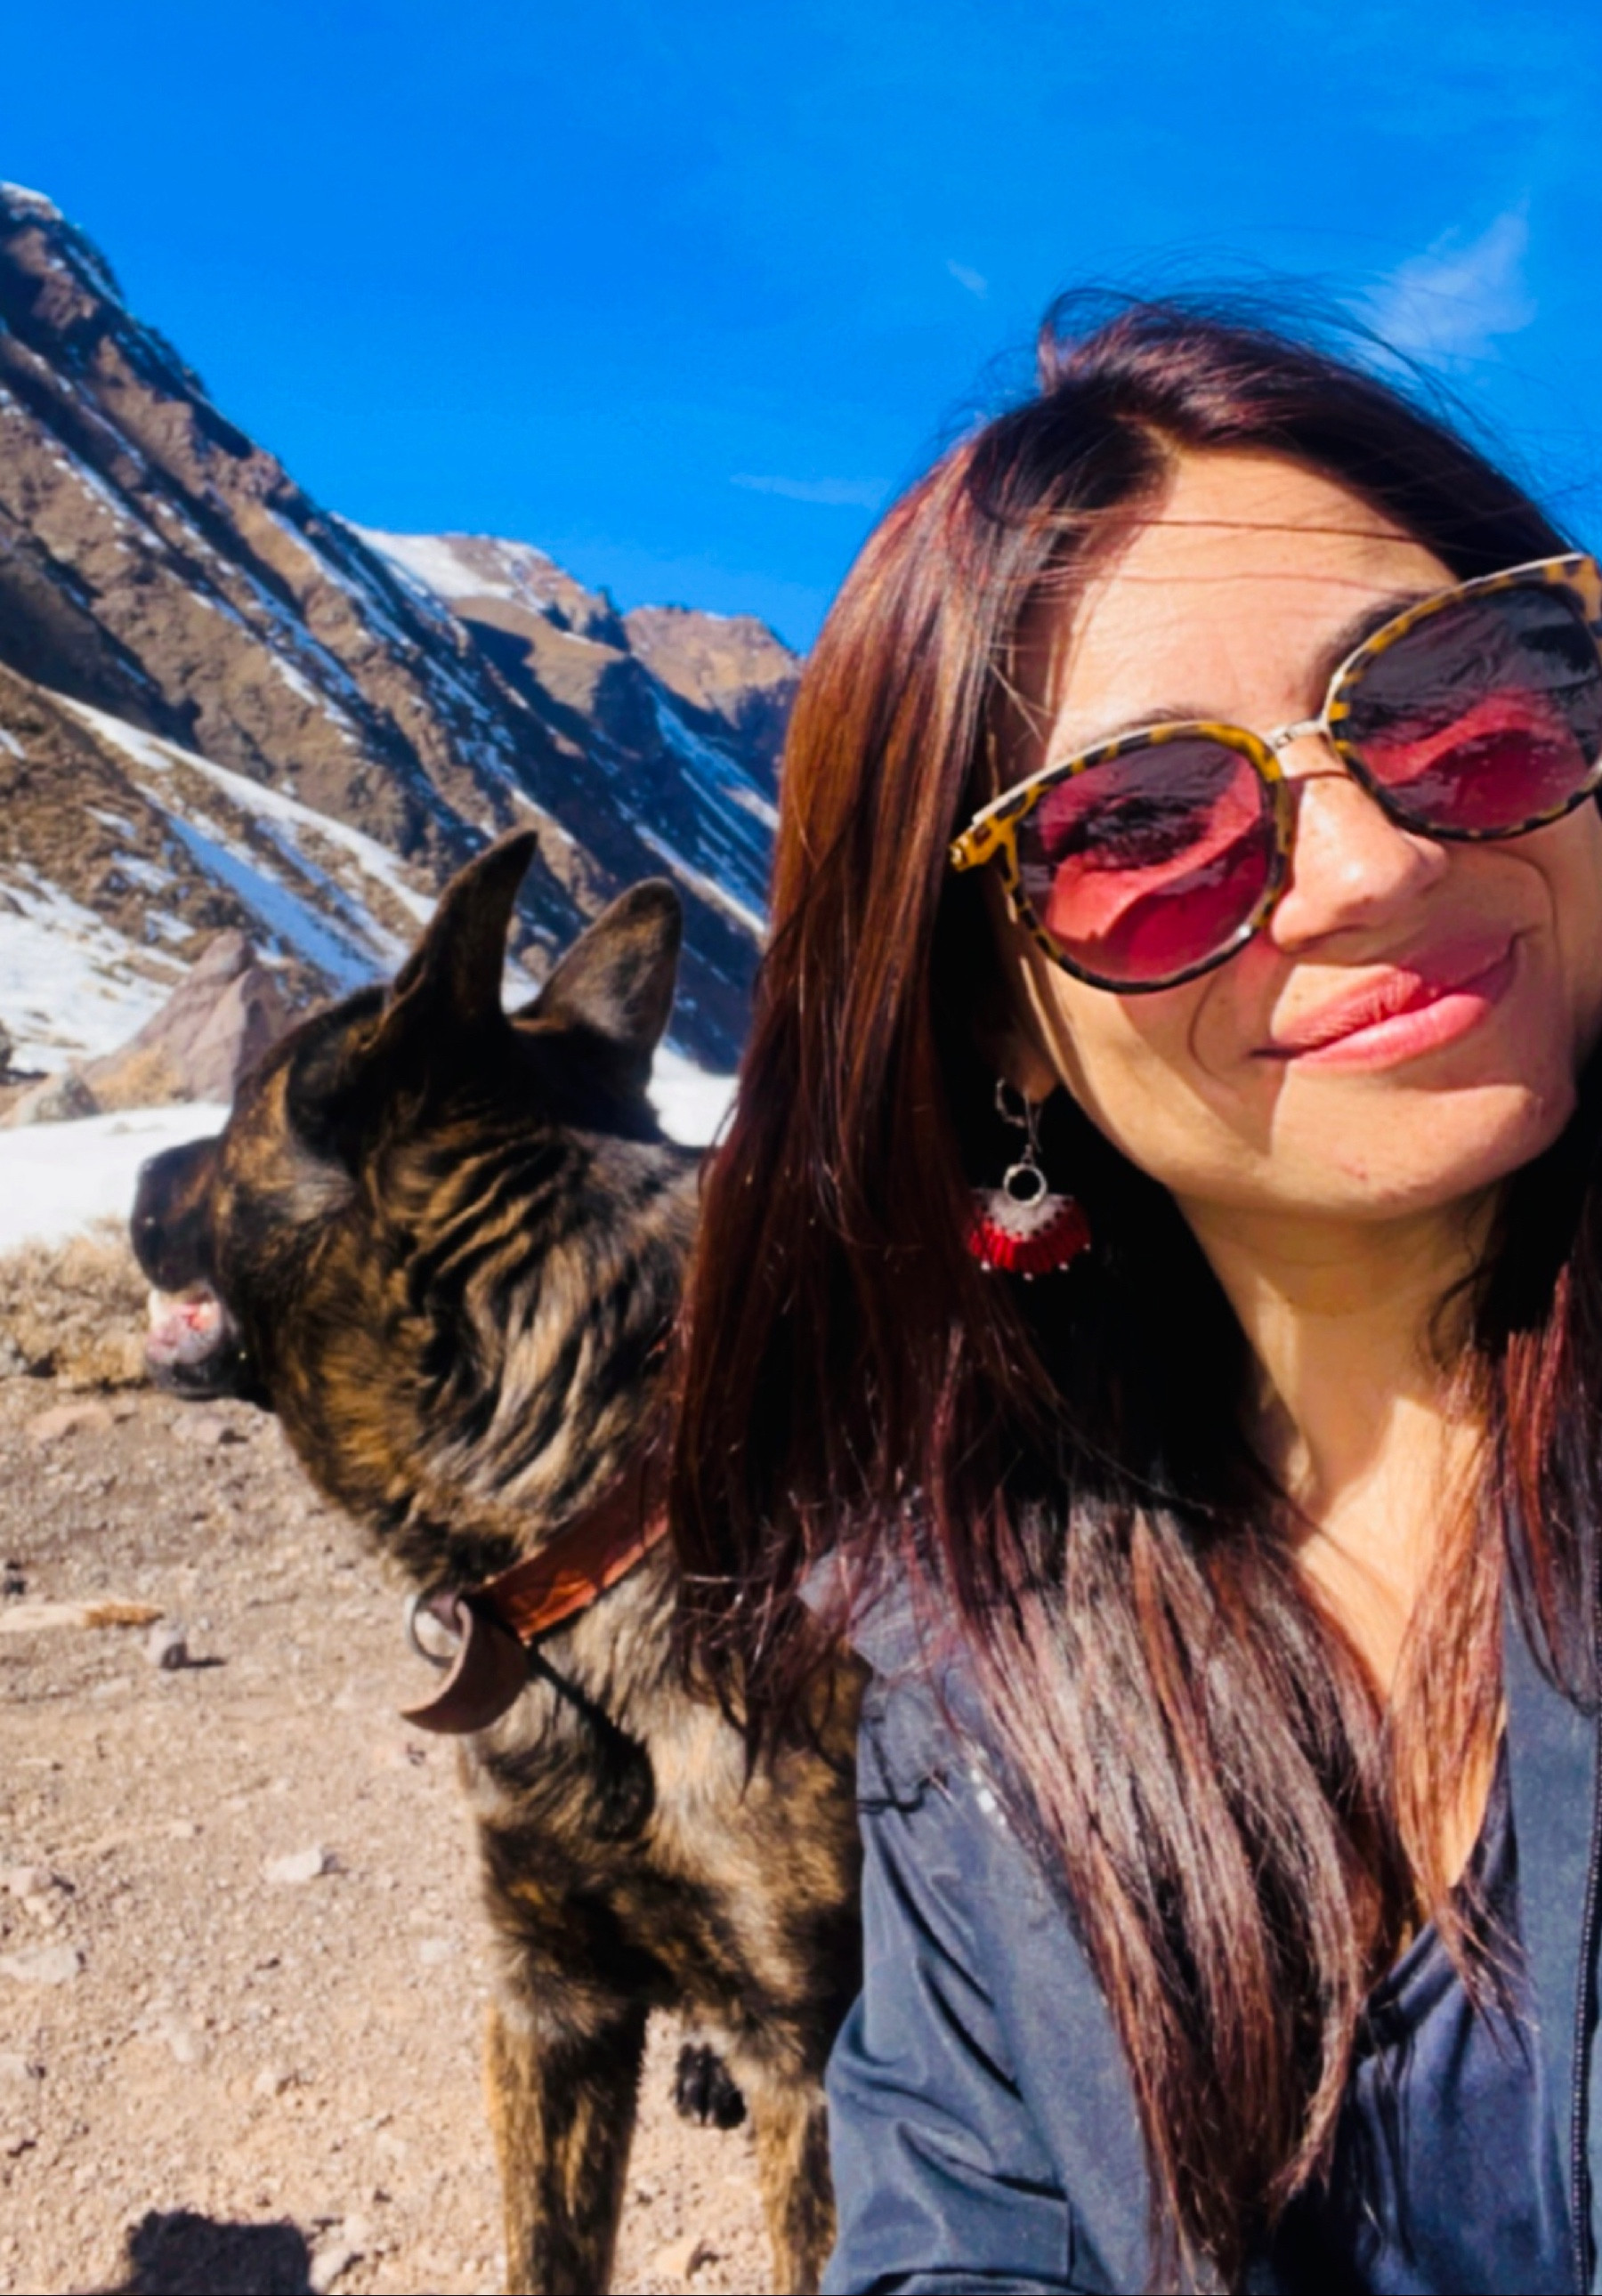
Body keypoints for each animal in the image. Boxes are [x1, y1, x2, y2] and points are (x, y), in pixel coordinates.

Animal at [130, 833, 862, 2295]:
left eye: (239, 1106)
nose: (126, 1188)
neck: (603, 1499)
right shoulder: (548, 1996)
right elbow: (547, 2246)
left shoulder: (821, 2068)